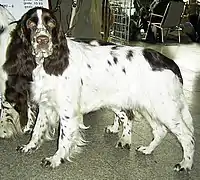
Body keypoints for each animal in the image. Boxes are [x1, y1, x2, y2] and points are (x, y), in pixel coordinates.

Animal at [2, 6, 195, 172]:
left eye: (51, 23)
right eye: (30, 23)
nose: (43, 40)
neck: (49, 63)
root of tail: (168, 61)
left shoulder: (67, 112)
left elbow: (63, 139)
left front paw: (56, 159)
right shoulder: (45, 105)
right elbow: (37, 130)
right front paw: (29, 147)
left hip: (165, 109)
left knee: (188, 137)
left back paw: (185, 164)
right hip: (149, 108)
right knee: (159, 130)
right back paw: (148, 149)